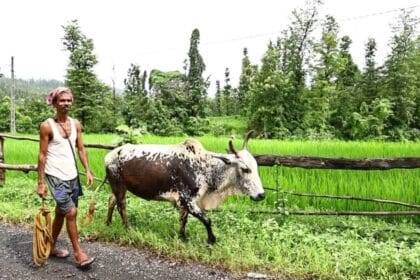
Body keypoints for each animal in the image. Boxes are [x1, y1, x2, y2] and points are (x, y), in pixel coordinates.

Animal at [103, 131, 264, 243]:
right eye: (245, 169)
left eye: (256, 167)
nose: (261, 195)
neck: (205, 167)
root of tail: (111, 154)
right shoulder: (188, 200)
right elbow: (207, 220)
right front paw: (211, 240)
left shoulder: (186, 202)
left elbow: (183, 219)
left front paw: (182, 236)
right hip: (119, 186)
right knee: (121, 206)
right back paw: (127, 228)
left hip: (118, 187)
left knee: (111, 201)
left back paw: (108, 223)